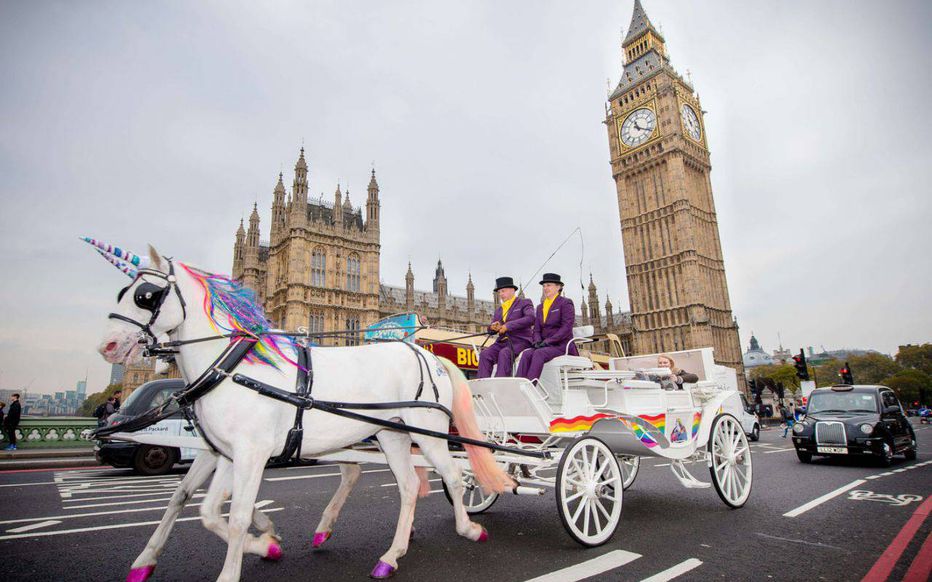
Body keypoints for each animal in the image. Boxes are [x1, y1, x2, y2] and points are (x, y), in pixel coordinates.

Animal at [94, 246, 510, 582]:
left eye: (146, 296)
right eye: (124, 292)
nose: (108, 345)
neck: (232, 367)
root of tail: (428, 355)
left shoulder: (249, 451)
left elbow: (234, 511)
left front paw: (254, 547)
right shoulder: (224, 451)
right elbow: (192, 501)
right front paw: (149, 560)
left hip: (425, 430)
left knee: (453, 475)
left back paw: (468, 529)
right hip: (388, 433)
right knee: (403, 483)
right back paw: (386, 554)